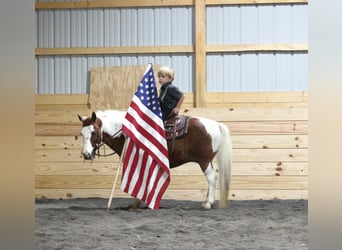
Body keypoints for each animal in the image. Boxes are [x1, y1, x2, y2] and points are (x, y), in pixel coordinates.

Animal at [78, 109, 232, 209]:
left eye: (93, 132)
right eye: (81, 133)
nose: (86, 154)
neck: (128, 132)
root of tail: (216, 124)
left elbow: (139, 180)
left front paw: (137, 203)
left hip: (204, 161)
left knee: (211, 178)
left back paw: (208, 204)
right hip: (207, 161)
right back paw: (205, 201)